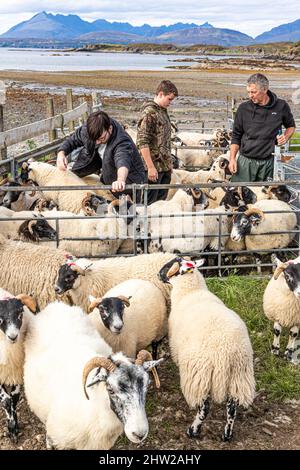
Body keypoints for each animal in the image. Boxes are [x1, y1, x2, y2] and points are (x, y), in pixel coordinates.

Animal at [23, 302, 163, 450]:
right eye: (110, 389)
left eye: (147, 386)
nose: (139, 434)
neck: (93, 406)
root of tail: (56, 305)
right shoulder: (55, 438)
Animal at [158, 258, 254, 440]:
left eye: (169, 265)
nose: (158, 274)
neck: (191, 291)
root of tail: (225, 353)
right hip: (239, 374)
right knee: (232, 408)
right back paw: (227, 435)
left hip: (199, 374)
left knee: (205, 407)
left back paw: (193, 430)